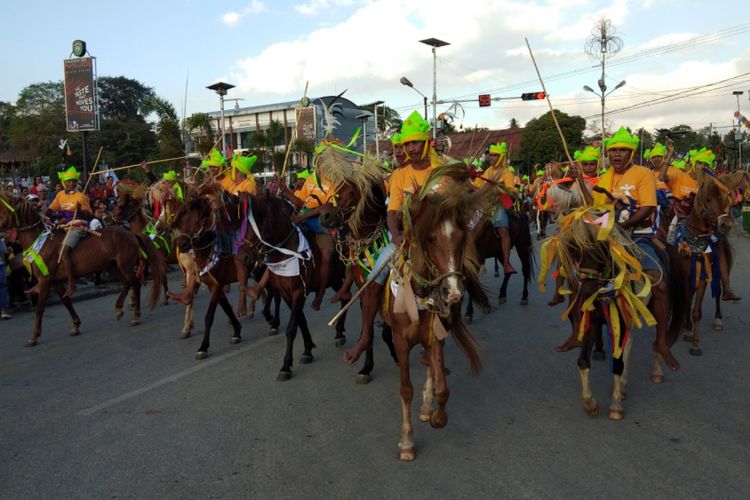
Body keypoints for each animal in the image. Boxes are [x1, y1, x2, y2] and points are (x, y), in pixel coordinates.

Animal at [0, 191, 166, 348]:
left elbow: (40, 308)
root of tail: (131, 233)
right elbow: (66, 301)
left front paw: (34, 336)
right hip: (113, 266)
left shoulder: (45, 280)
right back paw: (119, 309)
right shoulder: (55, 280)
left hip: (124, 266)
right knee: (126, 283)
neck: (41, 241)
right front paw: (75, 325)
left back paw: (136, 316)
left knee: (135, 284)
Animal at [378, 168, 496, 460]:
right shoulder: (400, 340)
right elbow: (405, 390)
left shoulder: (436, 336)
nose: (453, 292)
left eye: (462, 238)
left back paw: (426, 406)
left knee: (432, 367)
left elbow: (442, 387)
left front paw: (436, 417)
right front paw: (406, 442)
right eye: (430, 239)